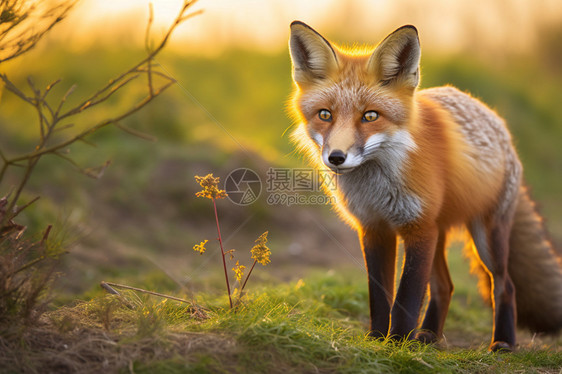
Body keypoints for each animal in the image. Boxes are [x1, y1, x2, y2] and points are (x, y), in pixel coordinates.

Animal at [286, 21, 560, 352]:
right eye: (325, 114)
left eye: (370, 116)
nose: (336, 157)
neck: (376, 186)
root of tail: (495, 119)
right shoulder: (375, 228)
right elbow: (380, 295)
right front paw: (377, 339)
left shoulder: (417, 228)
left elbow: (406, 296)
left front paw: (396, 344)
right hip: (438, 233)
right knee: (445, 286)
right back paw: (429, 335)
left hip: (485, 236)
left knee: (505, 285)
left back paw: (503, 342)